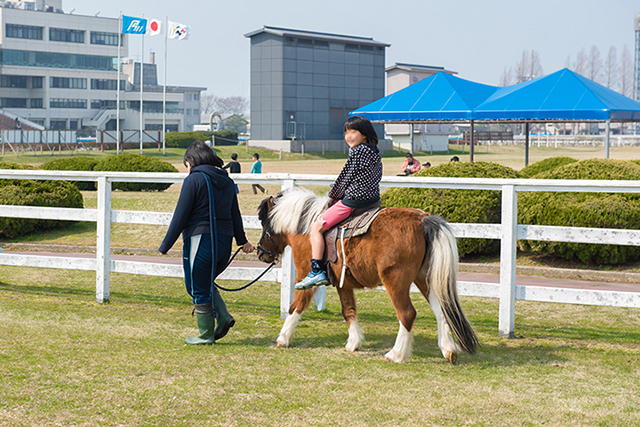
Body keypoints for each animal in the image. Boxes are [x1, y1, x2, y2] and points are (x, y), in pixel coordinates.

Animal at [258, 188, 478, 364]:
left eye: (264, 225)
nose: (261, 253)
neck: (306, 227)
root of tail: (423, 219)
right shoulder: (343, 284)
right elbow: (349, 311)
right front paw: (353, 343)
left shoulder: (305, 277)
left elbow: (296, 306)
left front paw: (283, 338)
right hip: (424, 279)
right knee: (440, 310)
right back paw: (448, 350)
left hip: (395, 281)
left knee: (407, 313)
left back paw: (396, 354)